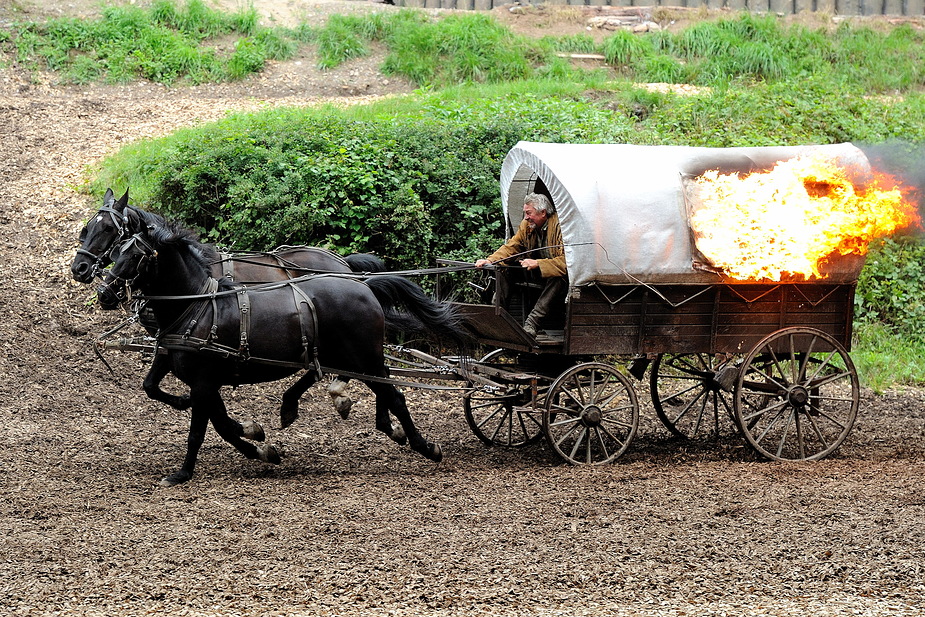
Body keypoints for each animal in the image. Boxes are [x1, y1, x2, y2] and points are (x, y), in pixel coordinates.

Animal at [98, 212, 462, 486]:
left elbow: (200, 429)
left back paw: (425, 446)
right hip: (350, 356)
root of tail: (363, 284)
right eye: (117, 251)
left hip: (361, 356)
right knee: (371, 384)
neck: (196, 306)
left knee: (393, 395)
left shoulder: (203, 380)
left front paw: (183, 473)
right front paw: (258, 442)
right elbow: (167, 394)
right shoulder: (189, 372)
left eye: (135, 255)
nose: (104, 293)